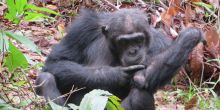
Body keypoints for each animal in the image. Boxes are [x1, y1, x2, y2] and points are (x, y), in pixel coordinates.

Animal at [34, 8, 205, 109]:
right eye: (124, 42)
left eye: (138, 39)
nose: (133, 51)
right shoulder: (83, 27)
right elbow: (56, 61)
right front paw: (113, 75)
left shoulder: (159, 43)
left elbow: (143, 77)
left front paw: (190, 35)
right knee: (46, 78)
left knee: (139, 95)